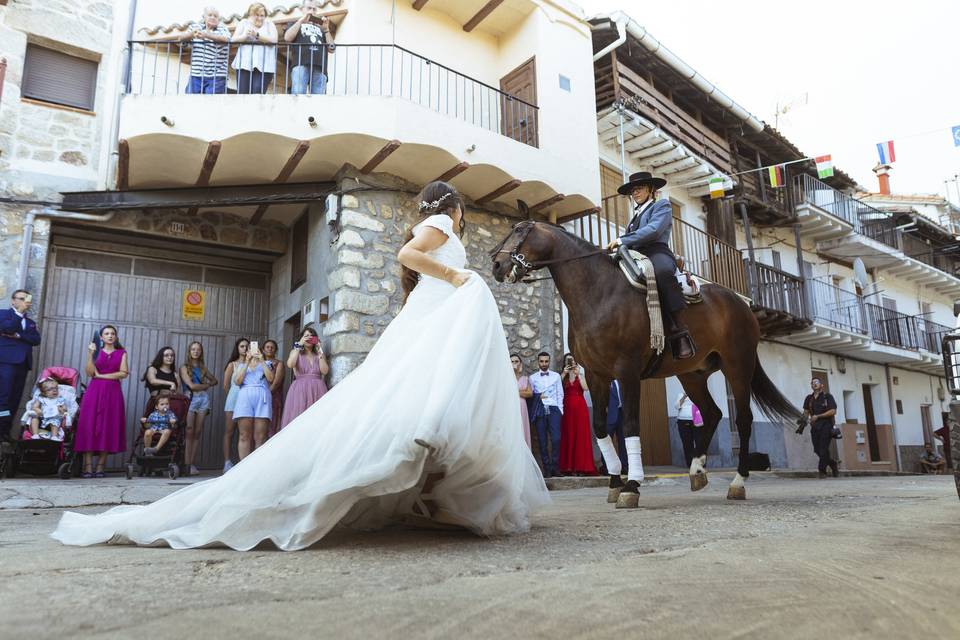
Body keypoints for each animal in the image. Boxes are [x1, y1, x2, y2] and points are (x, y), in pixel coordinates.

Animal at [492, 222, 800, 508]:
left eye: (520, 230)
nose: (496, 263)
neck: (598, 293)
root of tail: (741, 304)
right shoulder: (596, 374)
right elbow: (600, 427)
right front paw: (615, 482)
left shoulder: (626, 371)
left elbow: (630, 425)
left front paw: (631, 486)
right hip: (692, 375)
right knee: (712, 414)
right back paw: (697, 471)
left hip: (737, 366)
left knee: (743, 419)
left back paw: (737, 482)